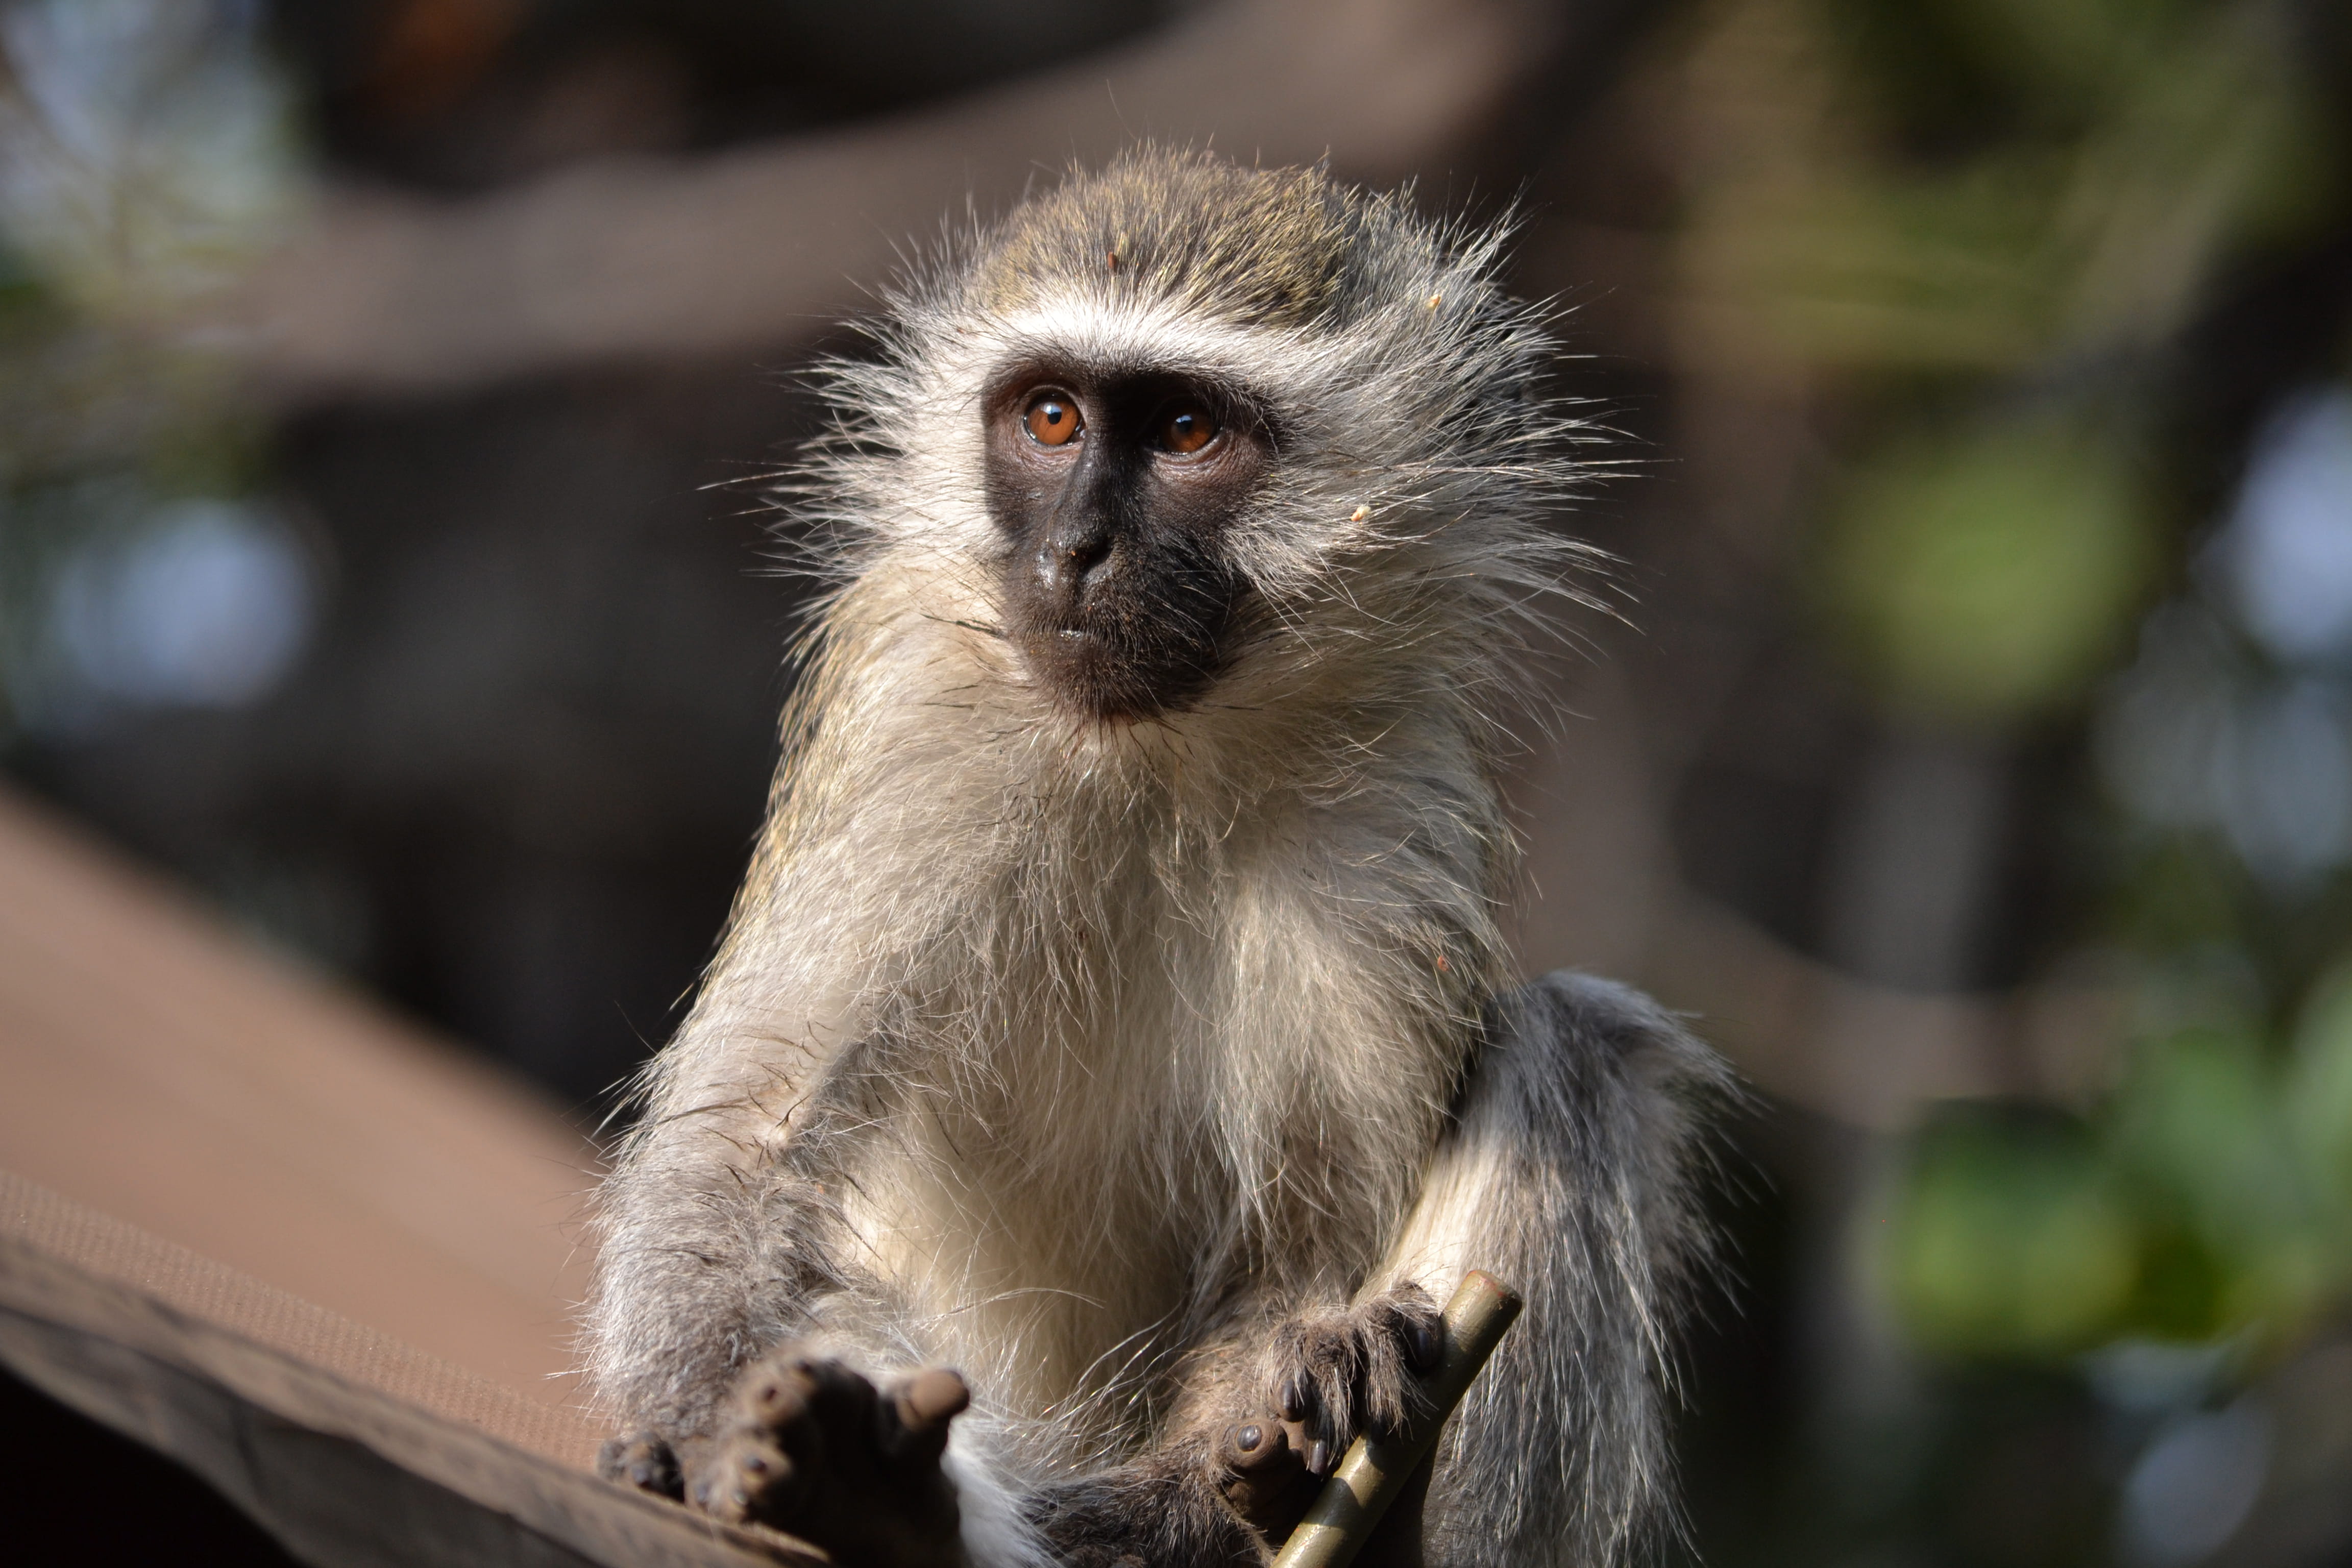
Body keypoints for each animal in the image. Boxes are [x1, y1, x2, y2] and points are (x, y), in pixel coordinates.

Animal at [586, 148, 1729, 1568]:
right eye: (1052, 419)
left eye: (1186, 432)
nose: (1075, 551)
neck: (1155, 765)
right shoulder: (905, 729)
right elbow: (753, 1123)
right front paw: (702, 1427)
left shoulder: (1389, 825)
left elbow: (1303, 1230)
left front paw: (1279, 1407)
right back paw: (879, 1493)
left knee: (1576, 1045)